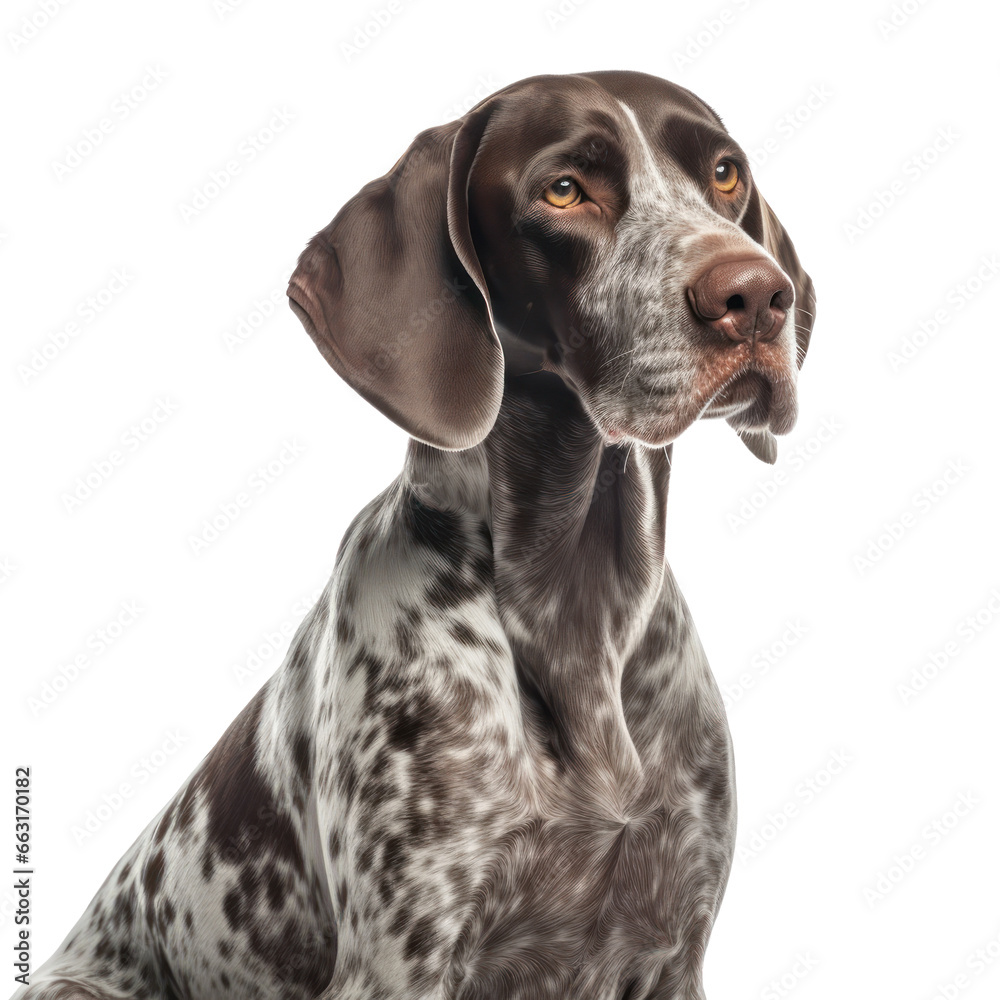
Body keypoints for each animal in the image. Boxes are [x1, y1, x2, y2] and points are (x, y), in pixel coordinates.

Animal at [17, 72, 812, 1000]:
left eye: (724, 173)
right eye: (563, 189)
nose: (755, 296)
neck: (579, 608)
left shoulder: (671, 955)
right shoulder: (402, 959)